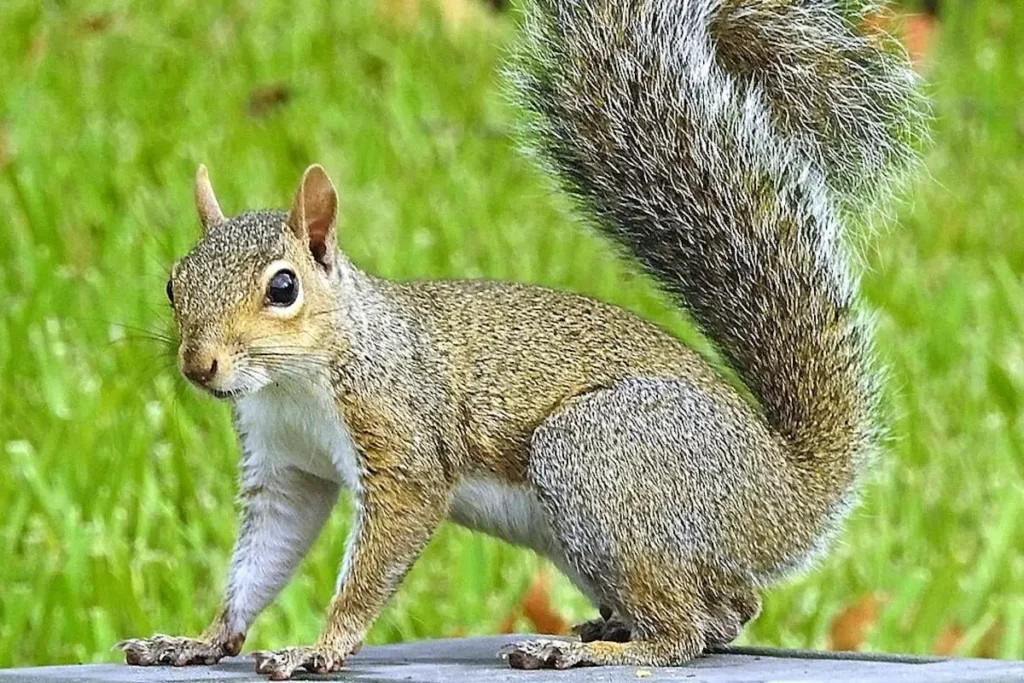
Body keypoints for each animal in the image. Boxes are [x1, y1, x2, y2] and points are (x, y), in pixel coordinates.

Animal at [119, 0, 925, 678]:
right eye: (173, 283)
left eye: (283, 288)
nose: (198, 365)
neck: (294, 379)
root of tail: (786, 492)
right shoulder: (285, 467)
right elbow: (263, 556)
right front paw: (200, 639)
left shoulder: (400, 435)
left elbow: (380, 554)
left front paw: (320, 648)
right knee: (727, 611)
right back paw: (601, 629)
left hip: (603, 456)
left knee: (688, 630)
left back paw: (596, 649)